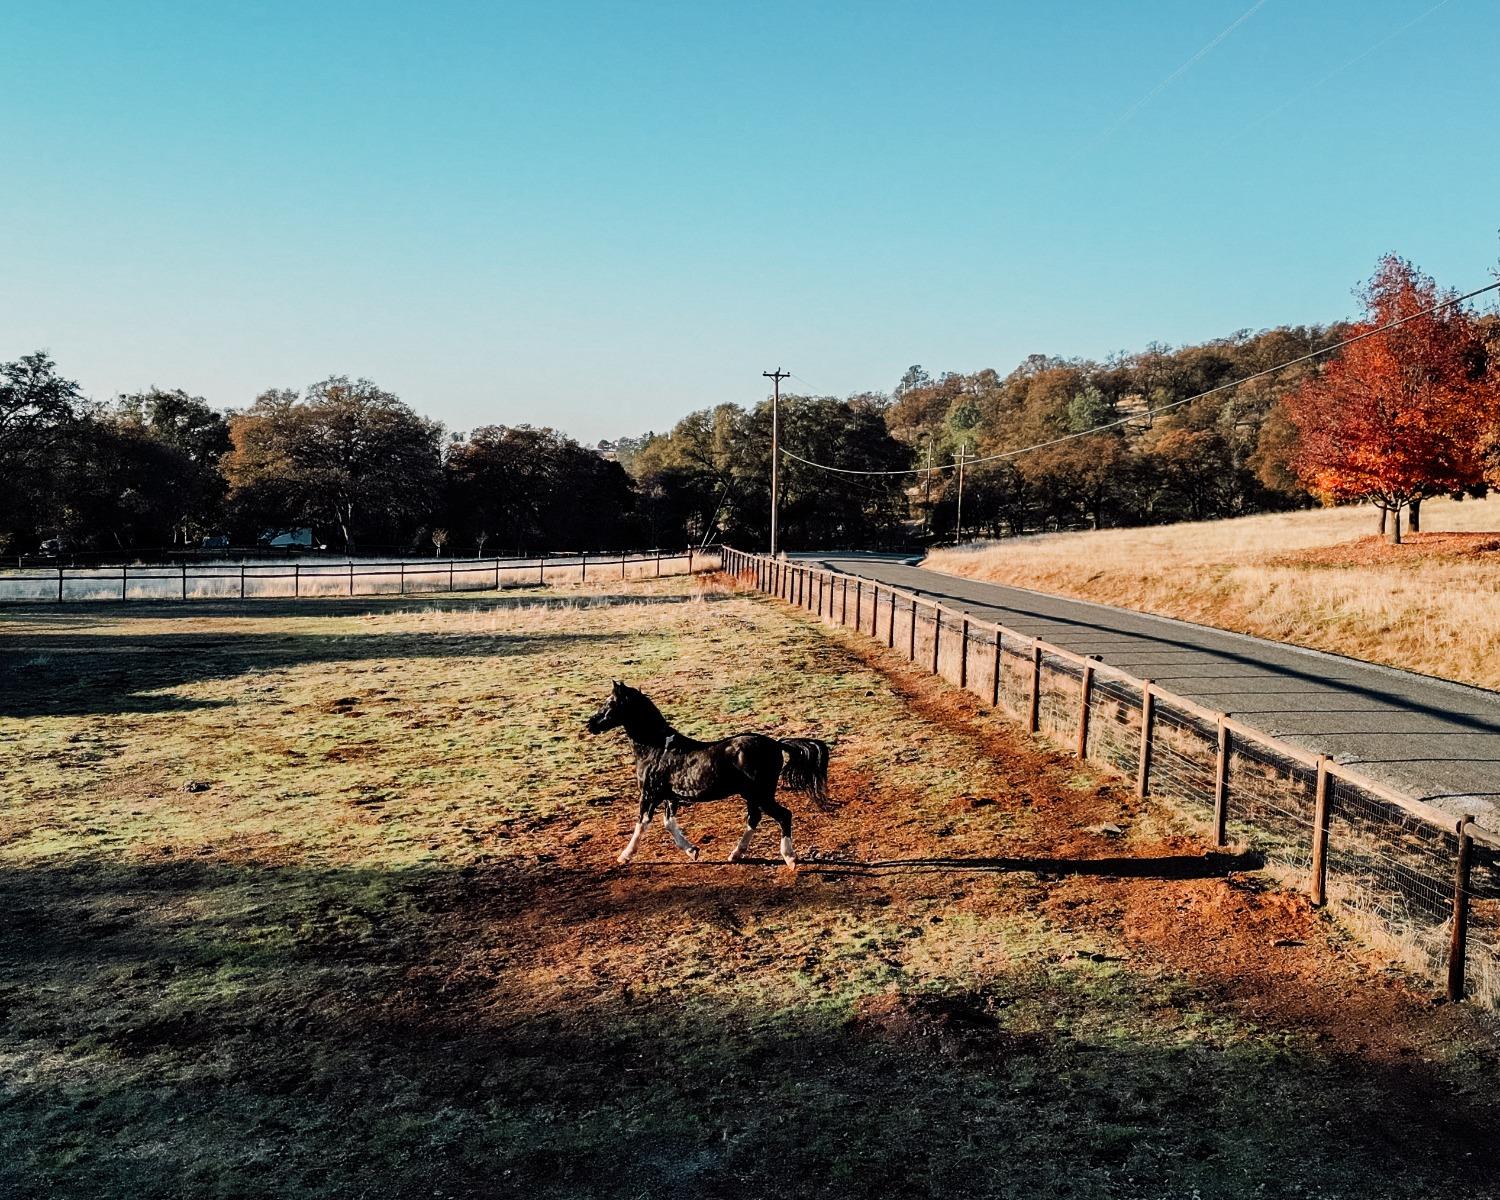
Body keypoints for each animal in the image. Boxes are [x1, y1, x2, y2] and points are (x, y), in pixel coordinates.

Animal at [582, 681, 828, 870]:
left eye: (611, 703)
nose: (590, 724)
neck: (656, 748)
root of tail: (776, 744)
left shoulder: (649, 794)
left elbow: (642, 823)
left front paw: (624, 856)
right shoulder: (670, 796)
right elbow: (668, 823)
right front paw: (693, 851)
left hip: (761, 794)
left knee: (783, 815)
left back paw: (790, 858)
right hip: (751, 795)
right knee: (754, 818)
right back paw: (735, 854)